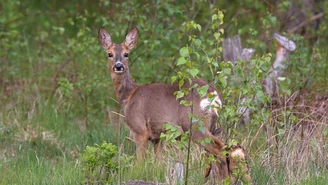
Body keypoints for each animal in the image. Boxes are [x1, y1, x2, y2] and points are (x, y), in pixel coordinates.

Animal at [98, 26, 251, 181]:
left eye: (126, 54)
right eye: (110, 54)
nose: (118, 66)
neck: (128, 96)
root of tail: (213, 95)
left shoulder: (139, 128)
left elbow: (140, 161)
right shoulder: (158, 136)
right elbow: (158, 162)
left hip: (194, 125)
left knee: (220, 150)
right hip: (211, 126)